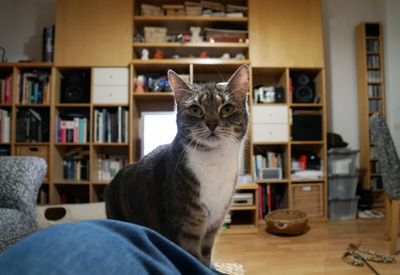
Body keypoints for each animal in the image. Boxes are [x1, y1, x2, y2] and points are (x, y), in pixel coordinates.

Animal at [105, 64, 250, 268]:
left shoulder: (214, 222)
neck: (213, 161)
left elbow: (205, 256)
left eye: (227, 108)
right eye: (195, 109)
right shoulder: (185, 223)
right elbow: (190, 257)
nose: (212, 123)